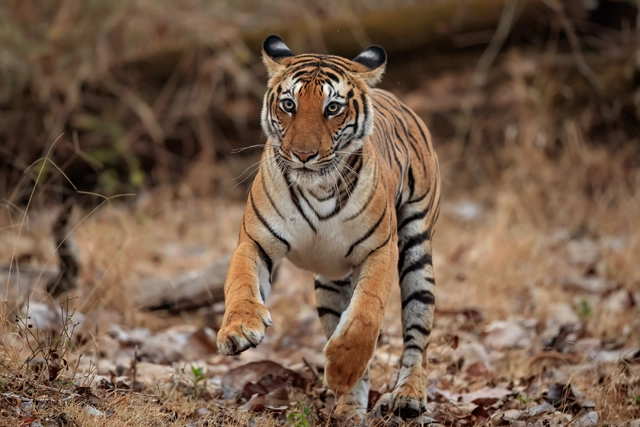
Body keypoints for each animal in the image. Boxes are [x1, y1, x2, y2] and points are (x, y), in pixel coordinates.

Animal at [216, 35, 441, 421]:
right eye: (289, 105)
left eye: (332, 108)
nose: (303, 155)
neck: (317, 188)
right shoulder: (255, 242)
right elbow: (240, 283)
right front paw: (238, 330)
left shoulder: (381, 249)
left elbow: (366, 312)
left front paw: (342, 368)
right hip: (329, 285)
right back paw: (349, 409)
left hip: (416, 250)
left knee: (417, 332)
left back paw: (407, 396)